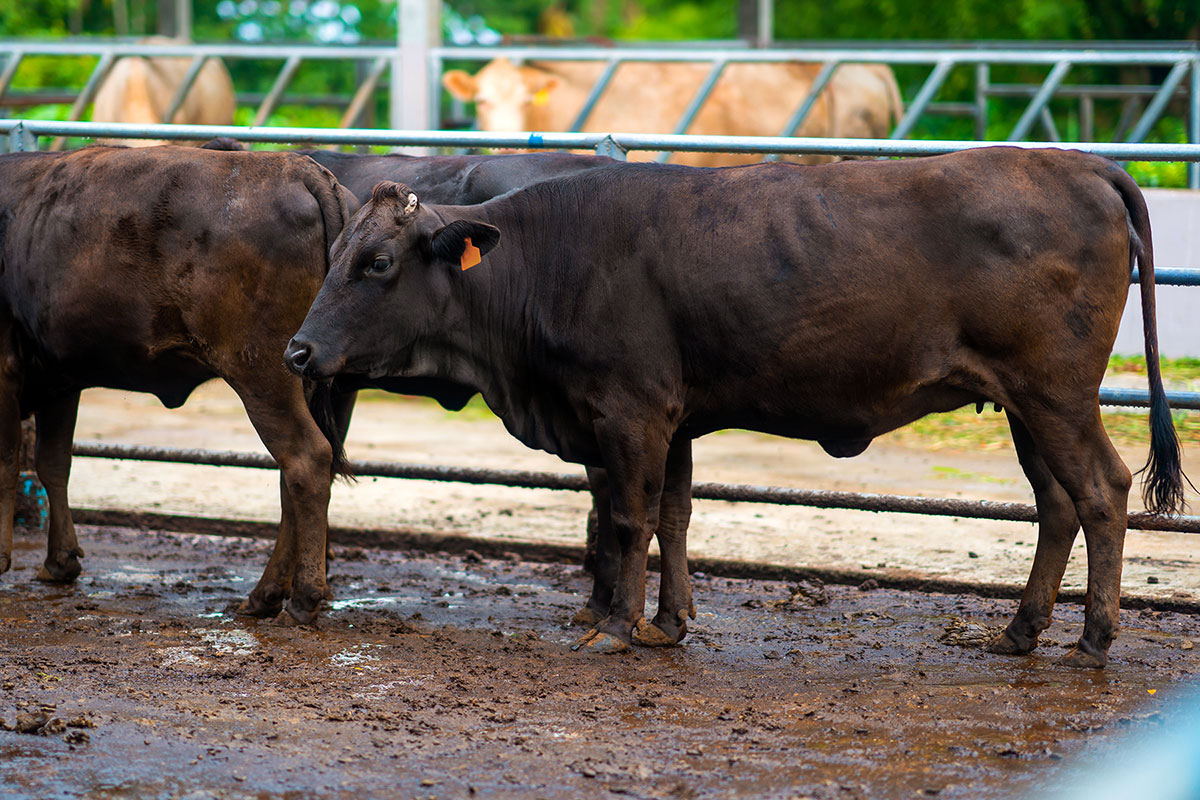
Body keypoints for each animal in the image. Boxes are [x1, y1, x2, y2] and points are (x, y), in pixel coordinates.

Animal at [1, 145, 350, 623]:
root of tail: (295, 166)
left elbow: (6, 461)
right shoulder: (61, 376)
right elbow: (53, 463)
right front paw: (60, 562)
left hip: (264, 375)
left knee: (305, 461)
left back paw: (299, 598)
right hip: (300, 381)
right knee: (295, 475)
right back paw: (267, 594)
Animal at [285, 145, 1185, 671]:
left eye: (376, 262)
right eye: (333, 254)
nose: (297, 351)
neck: (551, 261)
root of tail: (1082, 165)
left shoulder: (630, 411)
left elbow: (628, 519)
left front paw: (616, 625)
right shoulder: (673, 417)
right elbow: (674, 515)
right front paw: (670, 620)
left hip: (1056, 394)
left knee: (1100, 492)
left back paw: (1094, 640)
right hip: (1023, 404)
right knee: (1056, 506)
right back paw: (1021, 629)